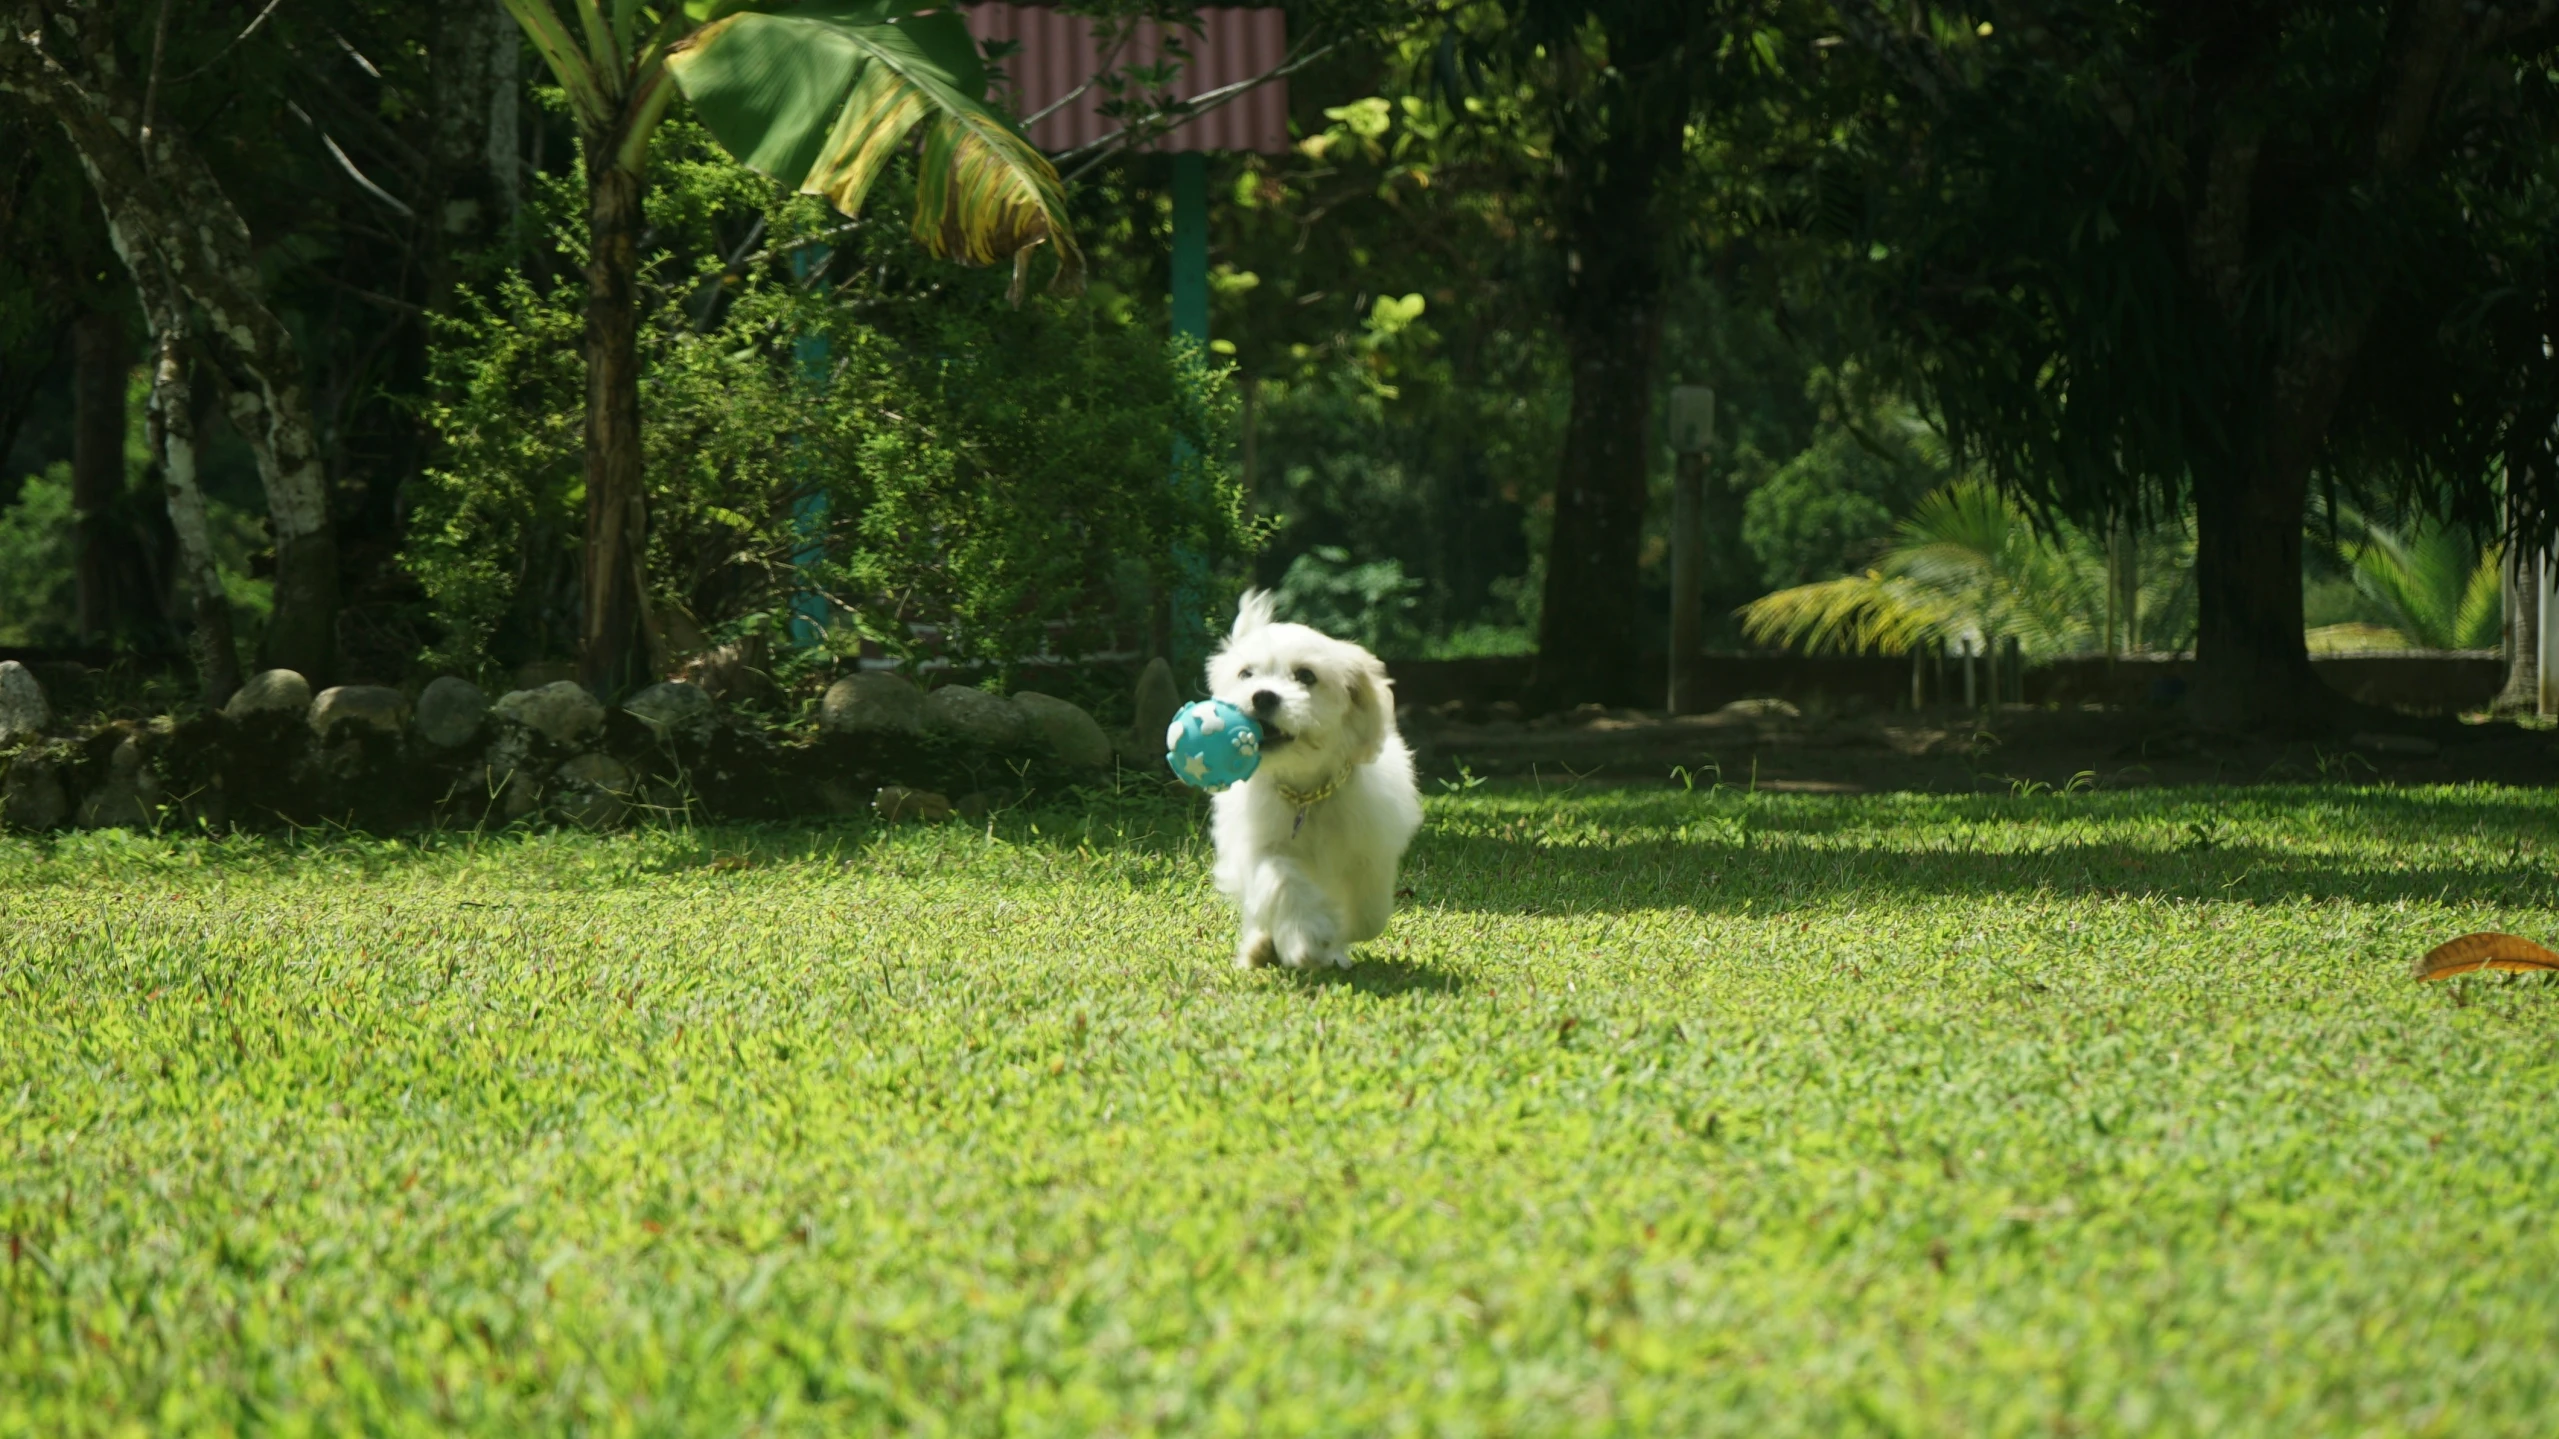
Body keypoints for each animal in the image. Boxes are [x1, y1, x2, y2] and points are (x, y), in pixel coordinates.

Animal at [1207, 588, 1433, 967]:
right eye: (1246, 674)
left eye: (1306, 676)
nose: (1262, 695)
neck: (1306, 792)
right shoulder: (1262, 845)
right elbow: (1280, 882)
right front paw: (1307, 938)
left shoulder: (1370, 851)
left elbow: (1367, 915)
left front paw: (1337, 937)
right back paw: (1261, 945)